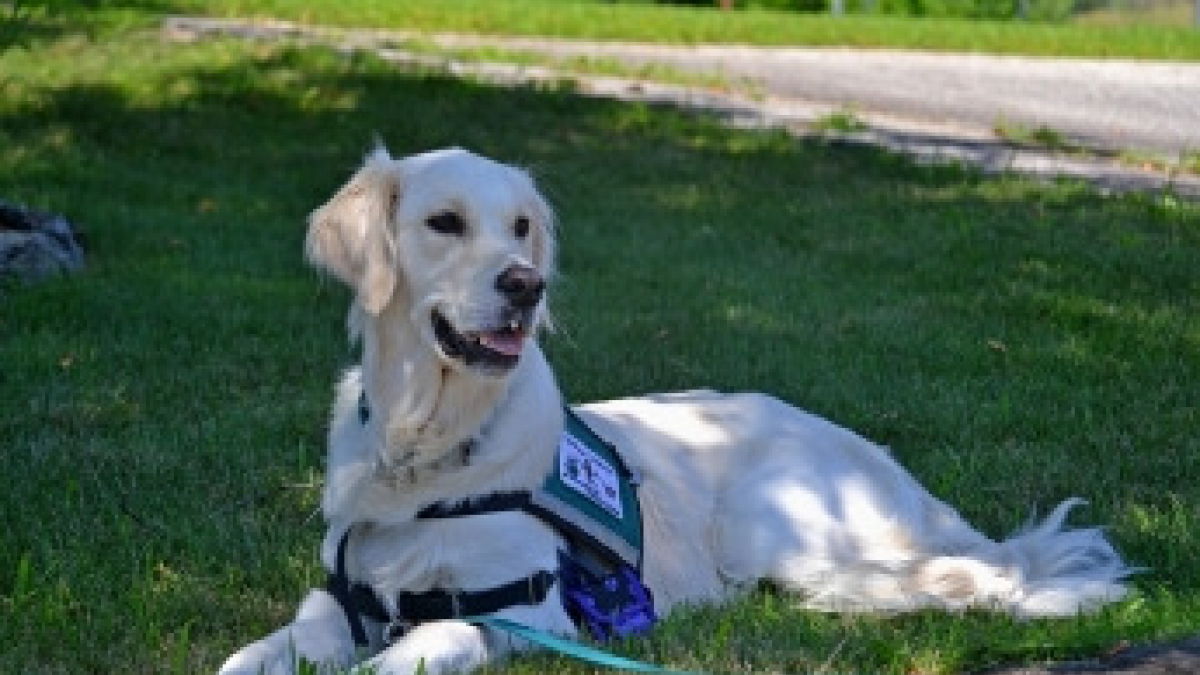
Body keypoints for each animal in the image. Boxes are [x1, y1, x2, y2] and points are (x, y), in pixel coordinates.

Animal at [218, 147, 1132, 672]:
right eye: (444, 222)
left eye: (521, 226)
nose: (526, 284)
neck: (428, 446)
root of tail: (889, 466)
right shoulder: (340, 599)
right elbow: (250, 654)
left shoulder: (525, 609)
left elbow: (417, 647)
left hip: (775, 525)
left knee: (968, 577)